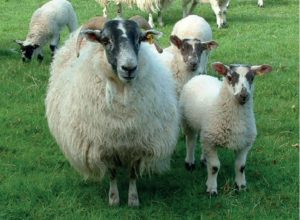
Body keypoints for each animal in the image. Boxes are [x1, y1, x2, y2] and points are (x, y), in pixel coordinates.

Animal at [45, 17, 179, 206]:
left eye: (139, 39)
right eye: (106, 40)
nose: (129, 68)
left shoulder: (136, 146)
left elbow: (132, 174)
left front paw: (133, 200)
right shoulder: (105, 147)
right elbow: (112, 173)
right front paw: (114, 199)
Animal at [179, 62, 274, 194]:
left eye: (252, 78)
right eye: (229, 77)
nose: (243, 95)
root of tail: (201, 76)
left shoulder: (244, 144)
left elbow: (240, 166)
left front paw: (241, 186)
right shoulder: (211, 142)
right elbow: (214, 167)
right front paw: (211, 189)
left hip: (206, 131)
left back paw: (204, 160)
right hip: (188, 122)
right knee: (191, 142)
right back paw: (189, 163)